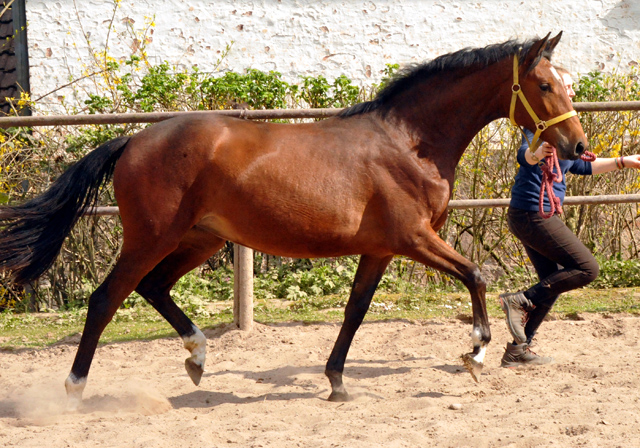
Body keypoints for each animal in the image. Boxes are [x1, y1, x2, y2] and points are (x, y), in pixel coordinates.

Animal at [0, 33, 584, 408]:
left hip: (199, 240)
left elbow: (354, 312)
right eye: (545, 86)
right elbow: (477, 275)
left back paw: (197, 357)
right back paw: (75, 389)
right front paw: (477, 351)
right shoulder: (414, 238)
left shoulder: (380, 249)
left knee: (153, 287)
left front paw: (337, 382)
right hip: (152, 237)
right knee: (106, 299)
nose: (578, 147)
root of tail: (133, 141)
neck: (409, 142)